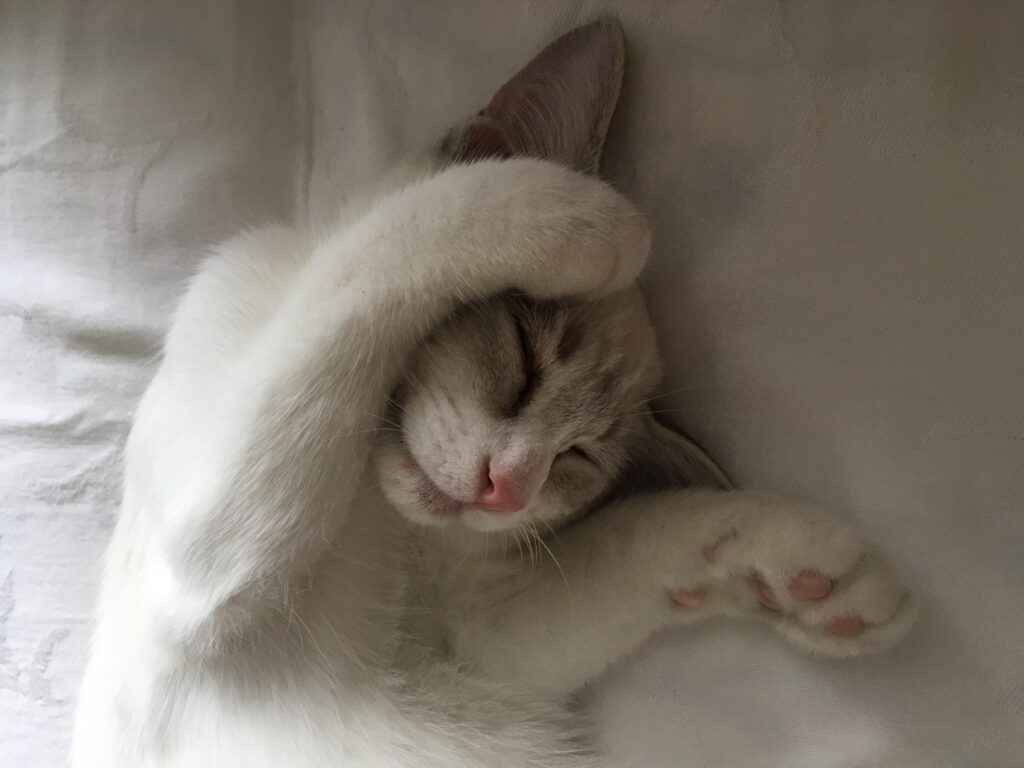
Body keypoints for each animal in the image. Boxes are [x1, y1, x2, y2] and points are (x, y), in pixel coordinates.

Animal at [72, 19, 916, 768]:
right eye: (524, 360)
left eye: (577, 457)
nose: (506, 487)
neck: (388, 522)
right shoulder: (205, 561)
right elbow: (370, 266)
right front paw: (583, 217)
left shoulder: (476, 649)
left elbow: (632, 539)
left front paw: (799, 572)